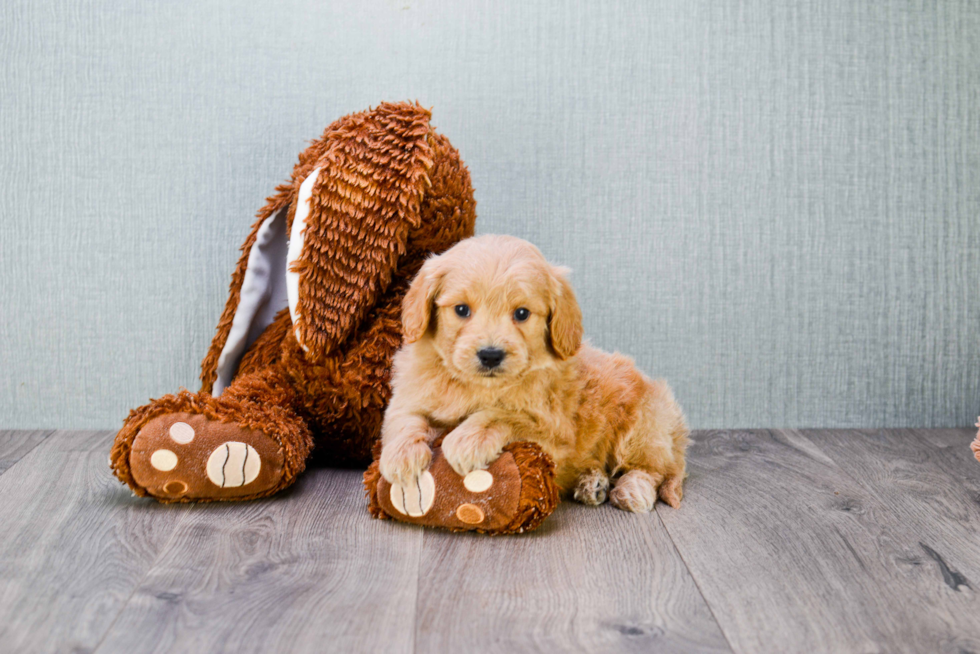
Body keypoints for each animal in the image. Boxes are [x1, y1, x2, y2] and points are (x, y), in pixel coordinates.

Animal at [378, 236, 688, 512]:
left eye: (522, 313)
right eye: (462, 309)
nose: (490, 355)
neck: (478, 387)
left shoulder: (555, 435)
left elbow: (504, 415)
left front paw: (468, 439)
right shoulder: (411, 393)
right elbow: (404, 418)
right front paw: (400, 456)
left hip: (643, 427)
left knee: (652, 470)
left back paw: (631, 490)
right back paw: (592, 483)